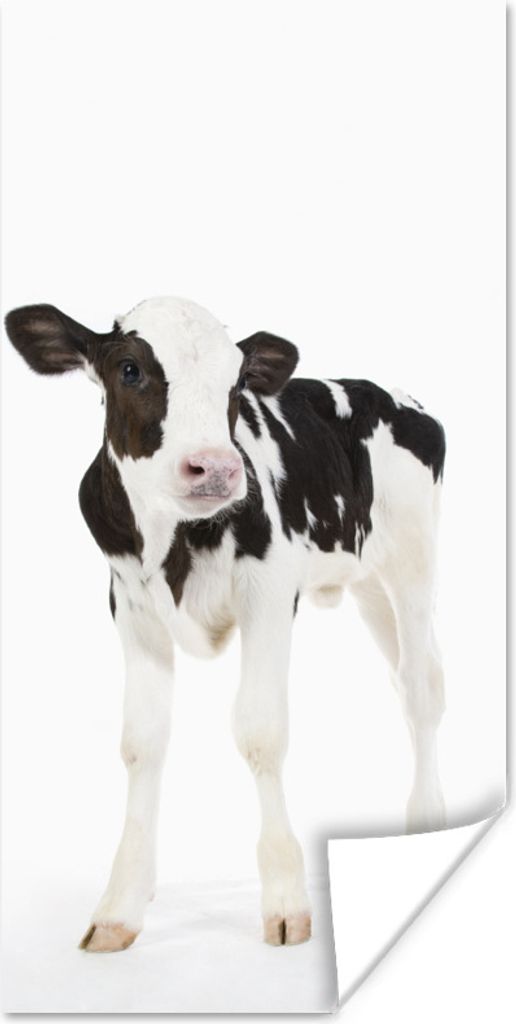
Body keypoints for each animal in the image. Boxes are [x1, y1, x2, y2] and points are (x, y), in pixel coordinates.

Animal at [5, 296, 446, 953]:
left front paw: (287, 900)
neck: (172, 541)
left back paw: (427, 825)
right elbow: (142, 742)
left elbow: (261, 732)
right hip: (367, 582)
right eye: (130, 369)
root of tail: (388, 392)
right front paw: (122, 904)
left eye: (236, 382)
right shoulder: (130, 604)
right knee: (404, 680)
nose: (214, 467)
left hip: (412, 559)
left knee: (422, 689)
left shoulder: (270, 590)